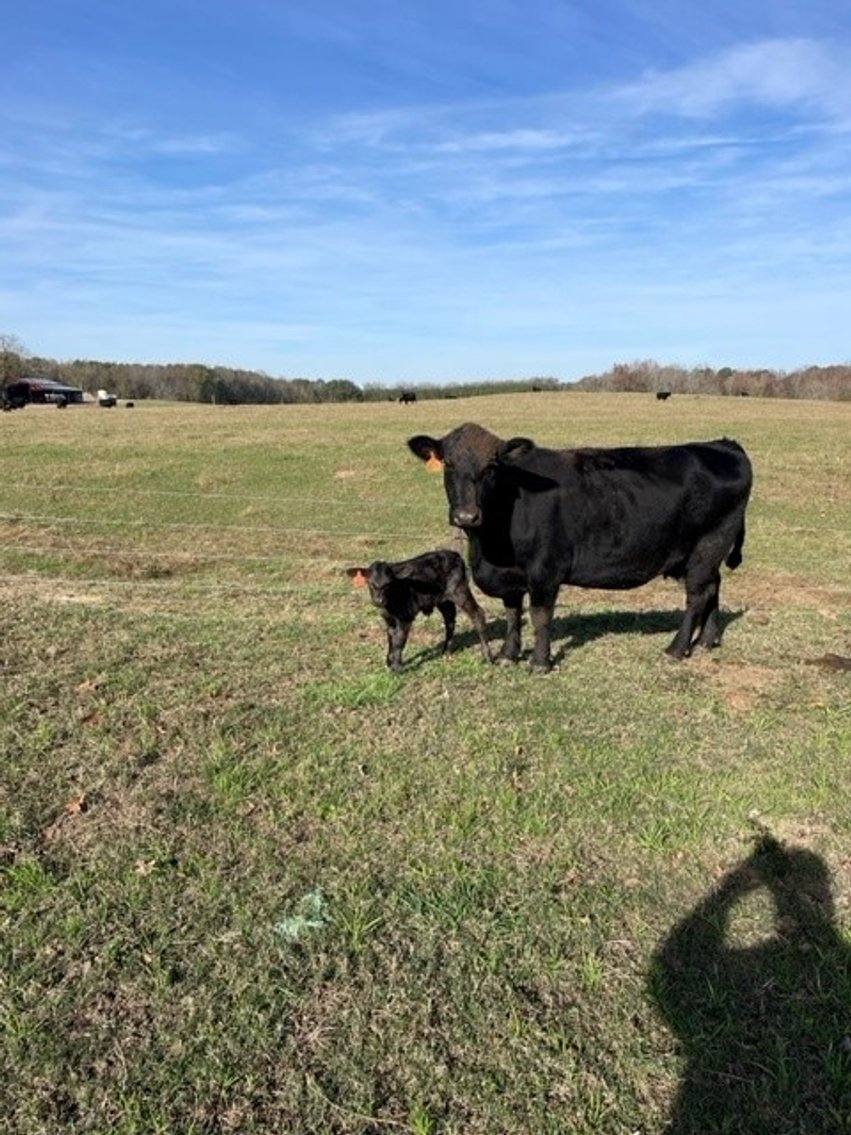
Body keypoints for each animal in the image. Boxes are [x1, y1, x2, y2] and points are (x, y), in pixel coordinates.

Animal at [346, 549, 492, 672]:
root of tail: (455, 554)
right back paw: (446, 650)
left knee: (477, 614)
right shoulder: (388, 619)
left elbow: (399, 640)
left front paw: (397, 667)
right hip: (444, 600)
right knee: (450, 619)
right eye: (370, 583)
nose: (379, 601)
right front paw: (388, 662)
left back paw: (488, 657)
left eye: (388, 584)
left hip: (460, 590)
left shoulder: (405, 616)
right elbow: (390, 638)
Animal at [407, 423, 752, 669]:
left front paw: (540, 663)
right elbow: (512, 613)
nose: (467, 516)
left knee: (697, 596)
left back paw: (676, 649)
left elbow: (539, 616)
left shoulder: (545, 570)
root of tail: (721, 444)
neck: (489, 548)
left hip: (707, 546)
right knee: (713, 587)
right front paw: (508, 655)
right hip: (700, 555)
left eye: (491, 467)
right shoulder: (510, 577)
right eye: (449, 465)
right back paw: (707, 640)